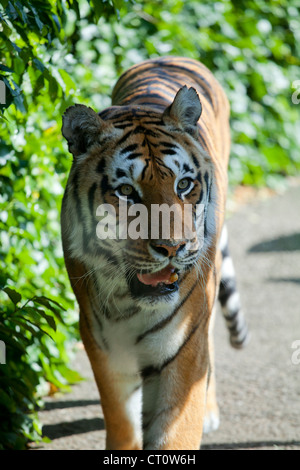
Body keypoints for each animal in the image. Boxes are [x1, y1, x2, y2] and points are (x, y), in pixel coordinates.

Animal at [61, 57, 248, 450]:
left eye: (184, 184)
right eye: (126, 192)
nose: (174, 247)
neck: (128, 304)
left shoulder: (182, 346)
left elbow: (175, 430)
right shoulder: (102, 344)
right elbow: (121, 420)